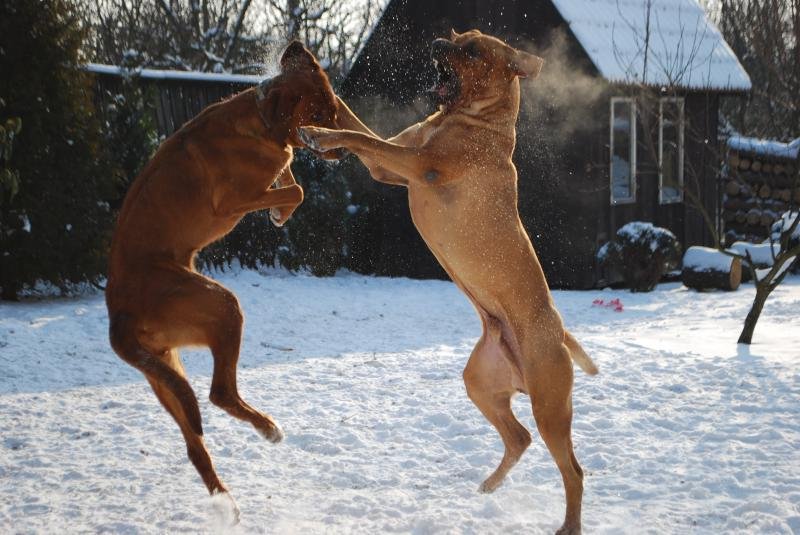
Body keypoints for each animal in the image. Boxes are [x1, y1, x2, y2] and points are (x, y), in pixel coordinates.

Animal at [302, 28, 600, 535]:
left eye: (473, 50)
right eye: (460, 36)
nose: (439, 40)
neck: (472, 121)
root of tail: (560, 333)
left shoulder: (417, 163)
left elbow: (358, 135)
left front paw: (321, 133)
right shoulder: (389, 164)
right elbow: (358, 127)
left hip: (550, 405)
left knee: (573, 470)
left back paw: (568, 525)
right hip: (480, 381)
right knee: (519, 438)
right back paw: (488, 487)